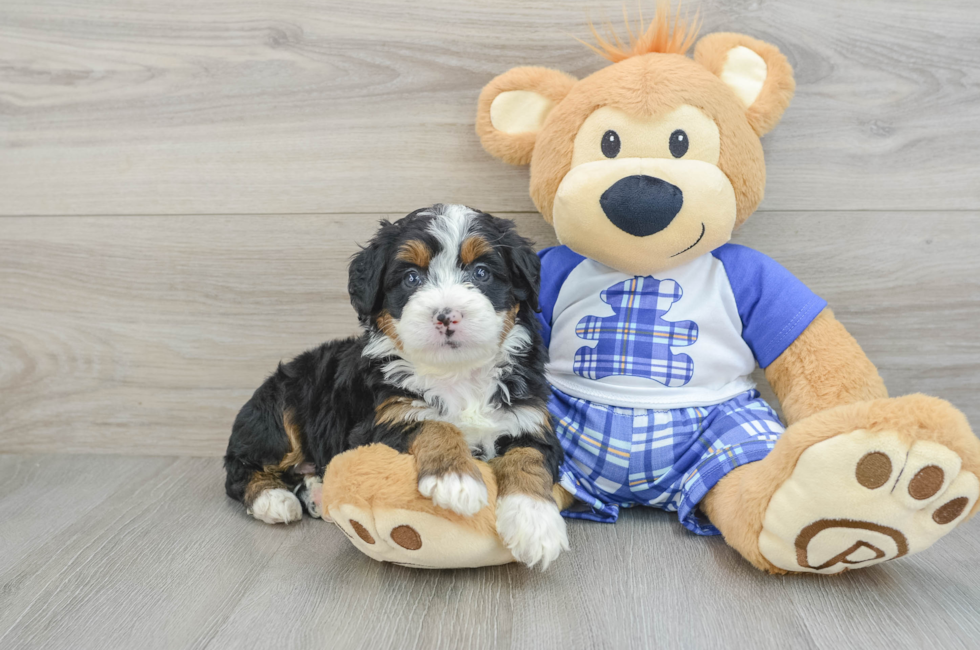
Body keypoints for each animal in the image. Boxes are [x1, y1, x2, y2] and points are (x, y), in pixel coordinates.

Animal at [223, 202, 572, 568]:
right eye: (411, 278)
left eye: (481, 273)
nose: (446, 315)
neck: (456, 373)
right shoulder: (383, 419)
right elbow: (433, 423)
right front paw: (456, 480)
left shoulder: (528, 418)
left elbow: (529, 458)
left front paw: (536, 524)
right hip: (282, 406)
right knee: (240, 469)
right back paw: (272, 499)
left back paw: (317, 491)